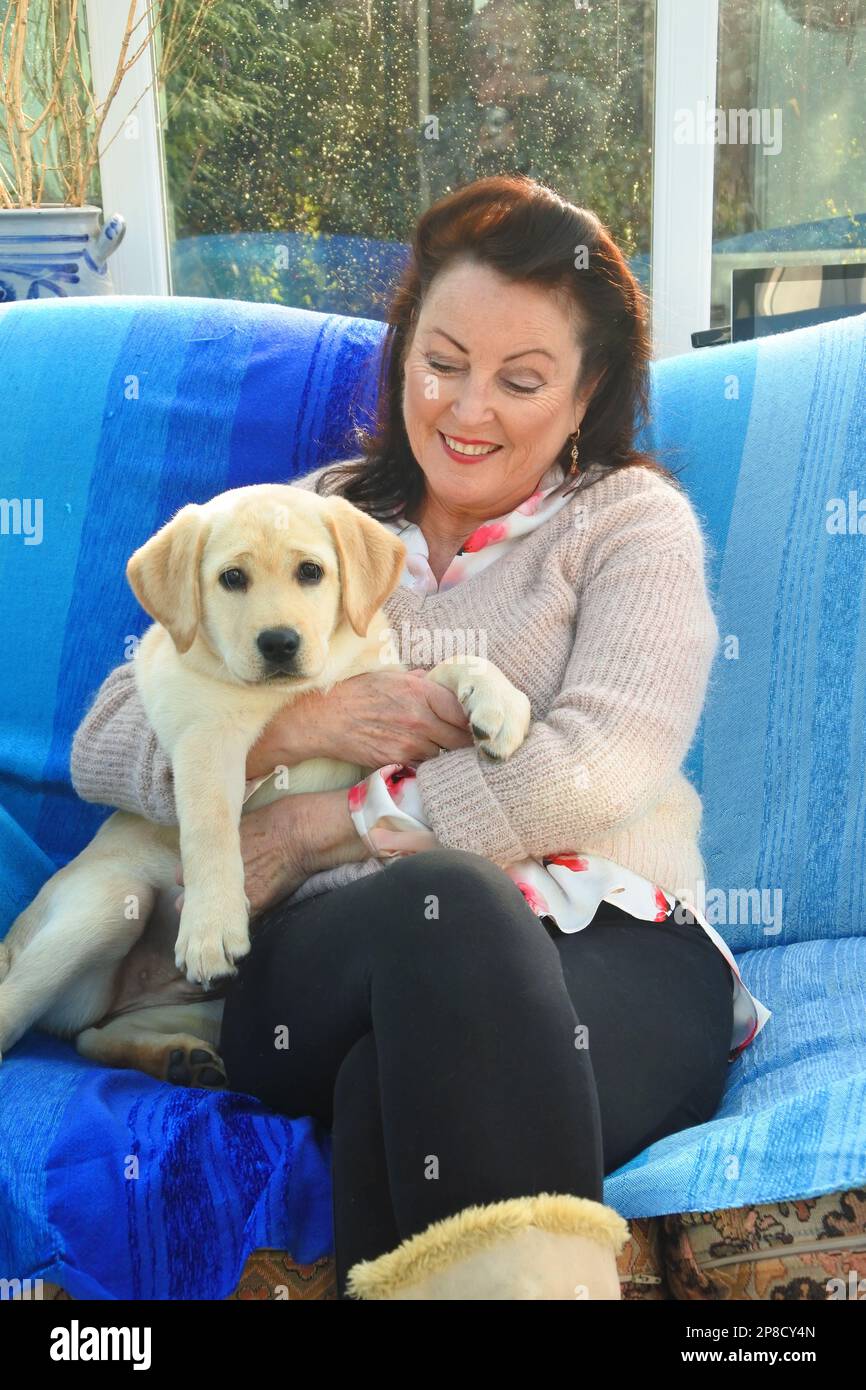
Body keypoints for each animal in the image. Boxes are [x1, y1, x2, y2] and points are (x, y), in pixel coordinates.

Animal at [0, 486, 530, 1084]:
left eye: (310, 572)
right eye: (232, 578)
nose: (279, 643)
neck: (291, 691)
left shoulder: (387, 700)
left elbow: (446, 667)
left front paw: (499, 703)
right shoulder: (206, 738)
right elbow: (210, 829)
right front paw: (210, 926)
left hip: (204, 1009)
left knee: (94, 1035)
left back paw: (180, 1060)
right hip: (109, 904)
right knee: (17, 1011)